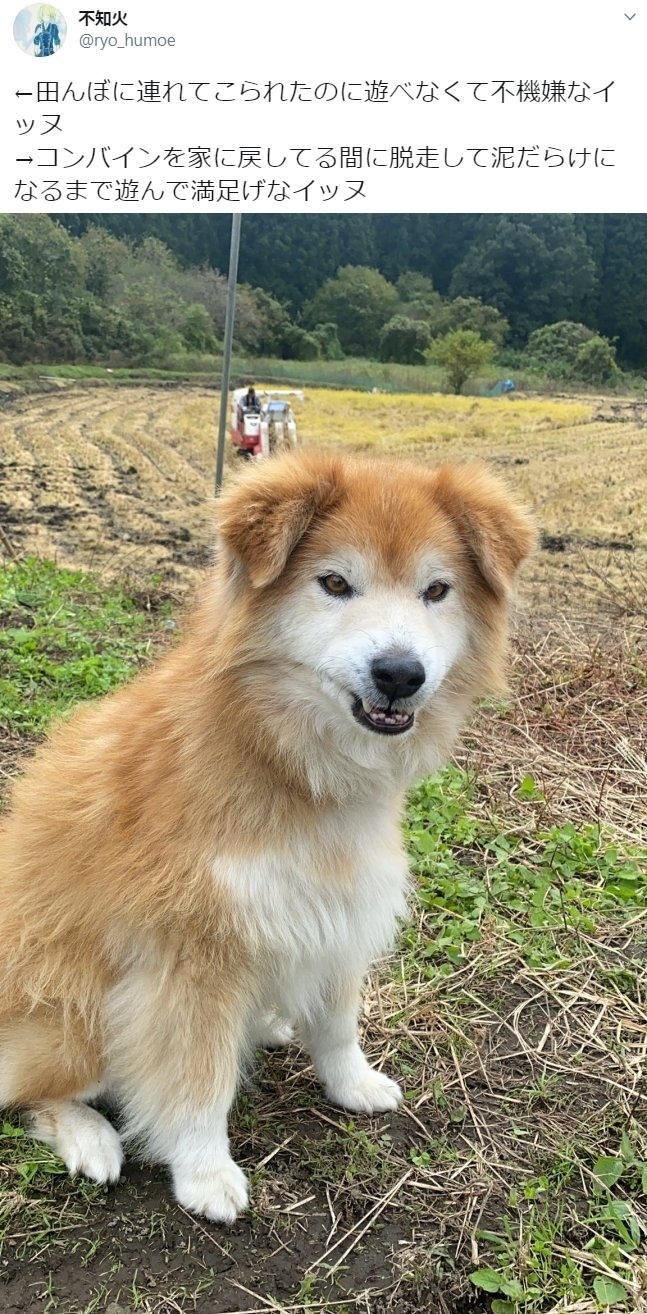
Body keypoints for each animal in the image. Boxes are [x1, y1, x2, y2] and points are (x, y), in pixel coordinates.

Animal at [0, 449, 536, 1219]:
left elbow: (338, 1020)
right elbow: (197, 1081)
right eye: (335, 583)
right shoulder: (192, 955)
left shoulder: (340, 903)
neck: (288, 762)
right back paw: (89, 1137)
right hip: (73, 1016)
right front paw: (203, 1173)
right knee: (26, 1093)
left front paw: (351, 1082)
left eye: (437, 590)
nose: (399, 673)